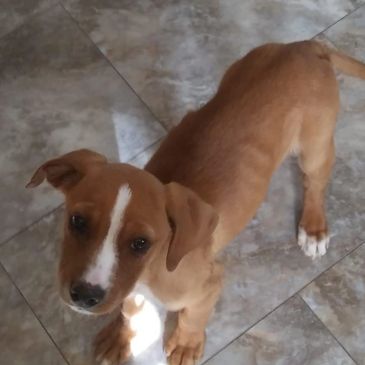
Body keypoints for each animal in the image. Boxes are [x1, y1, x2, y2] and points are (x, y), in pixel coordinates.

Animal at [27, 40, 364, 364]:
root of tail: (307, 47)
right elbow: (130, 307)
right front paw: (122, 337)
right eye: (77, 221)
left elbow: (193, 316)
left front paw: (186, 345)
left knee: (315, 182)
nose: (85, 295)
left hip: (315, 145)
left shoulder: (208, 284)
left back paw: (314, 228)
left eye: (140, 243)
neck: (153, 270)